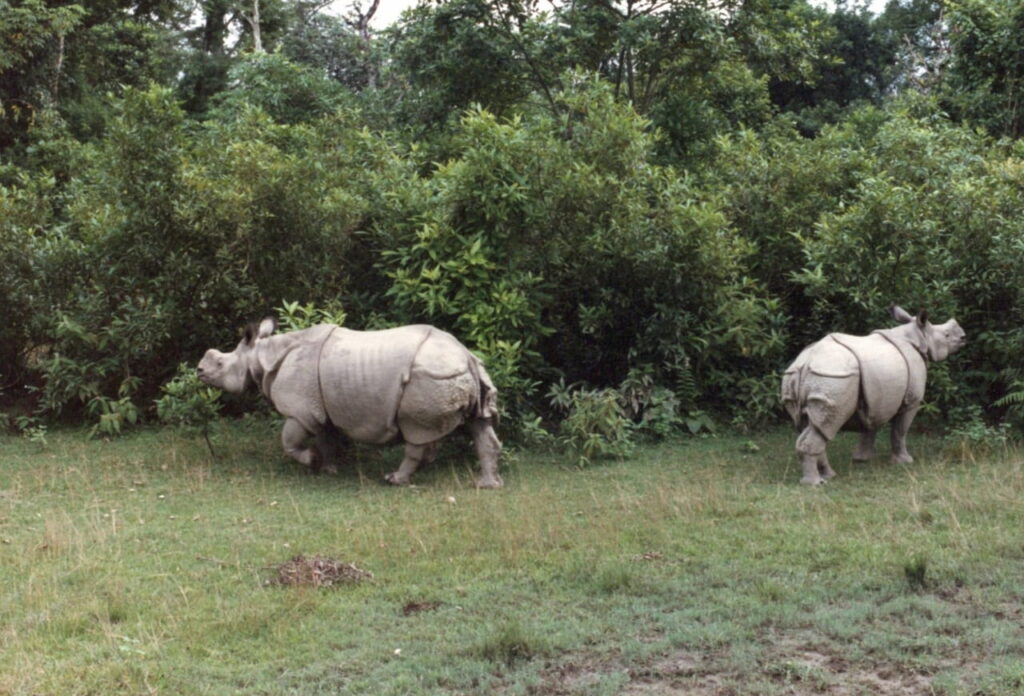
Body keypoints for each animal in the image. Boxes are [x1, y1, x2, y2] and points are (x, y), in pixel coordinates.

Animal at [197, 318, 503, 488]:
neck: (262, 355)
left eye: (220, 364)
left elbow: (289, 442)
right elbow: (326, 438)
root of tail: (465, 355)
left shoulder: (300, 410)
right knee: (478, 423)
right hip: (460, 372)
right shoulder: (319, 407)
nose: (199, 370)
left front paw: (311, 461)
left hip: (429, 376)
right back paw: (487, 485)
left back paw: (395, 480)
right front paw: (328, 468)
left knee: (415, 430)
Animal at [781, 306, 966, 485]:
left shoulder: (875, 396)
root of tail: (805, 363)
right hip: (832, 377)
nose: (963, 336)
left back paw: (828, 476)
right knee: (827, 424)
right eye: (947, 335)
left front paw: (862, 459)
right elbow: (900, 430)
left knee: (812, 426)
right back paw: (815, 484)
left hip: (799, 376)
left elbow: (870, 425)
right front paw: (905, 461)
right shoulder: (911, 401)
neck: (919, 336)